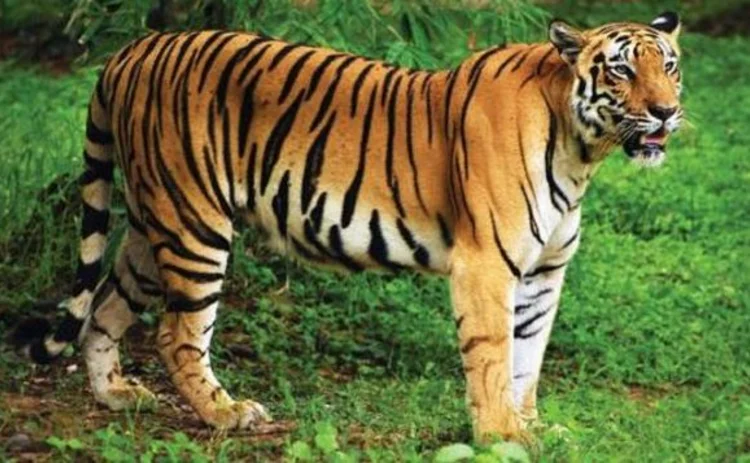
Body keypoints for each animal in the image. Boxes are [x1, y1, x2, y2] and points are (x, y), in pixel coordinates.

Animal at [12, 12, 683, 441]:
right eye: (621, 71)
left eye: (670, 66)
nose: (667, 111)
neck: (581, 151)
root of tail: (131, 51)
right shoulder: (487, 263)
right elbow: (495, 354)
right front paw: (502, 436)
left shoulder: (544, 271)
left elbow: (529, 357)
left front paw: (532, 426)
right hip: (195, 224)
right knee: (178, 335)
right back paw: (227, 414)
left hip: (153, 230)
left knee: (105, 306)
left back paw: (115, 395)